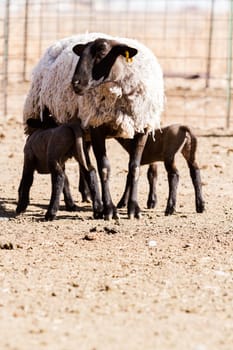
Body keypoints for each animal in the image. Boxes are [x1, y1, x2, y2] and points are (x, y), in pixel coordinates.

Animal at [22, 32, 163, 219]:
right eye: (81, 54)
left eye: (102, 53)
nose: (75, 83)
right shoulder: (97, 127)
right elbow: (104, 168)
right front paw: (109, 209)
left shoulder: (142, 127)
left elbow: (134, 168)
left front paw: (133, 208)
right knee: (67, 167)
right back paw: (77, 202)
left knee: (83, 164)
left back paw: (89, 196)